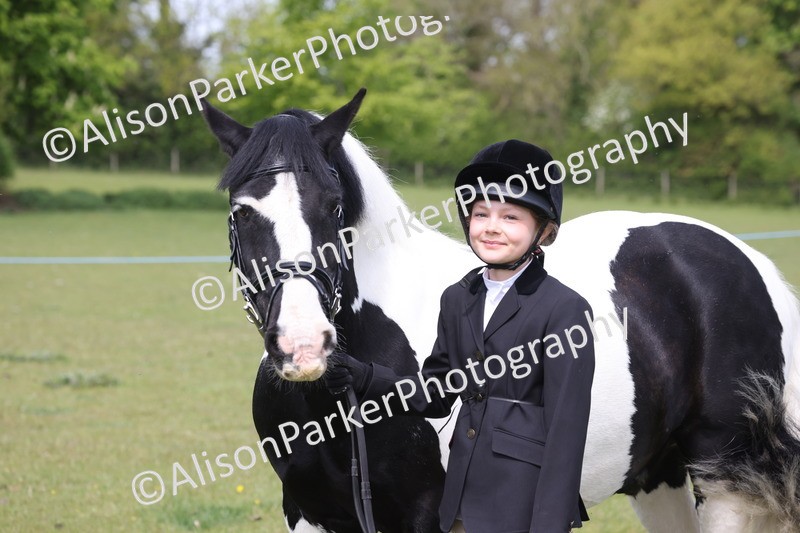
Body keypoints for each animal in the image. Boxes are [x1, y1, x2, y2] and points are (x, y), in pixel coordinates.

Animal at [201, 89, 800, 533]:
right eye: (242, 212)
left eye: (334, 206)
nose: (303, 345)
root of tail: (748, 261)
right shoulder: (308, 513)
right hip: (659, 476)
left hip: (725, 481)